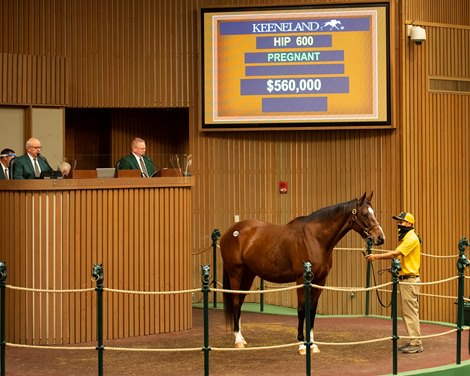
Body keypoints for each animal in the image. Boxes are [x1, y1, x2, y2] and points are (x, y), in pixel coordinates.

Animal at [218, 192, 384, 354]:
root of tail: (231, 231)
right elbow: (302, 310)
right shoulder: (301, 280)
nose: (380, 238)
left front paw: (313, 344)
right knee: (235, 302)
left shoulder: (320, 281)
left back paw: (241, 337)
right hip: (236, 273)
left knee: (239, 302)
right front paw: (302, 345)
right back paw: (238, 340)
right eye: (364, 214)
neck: (315, 239)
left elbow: (312, 310)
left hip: (248, 275)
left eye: (374, 213)